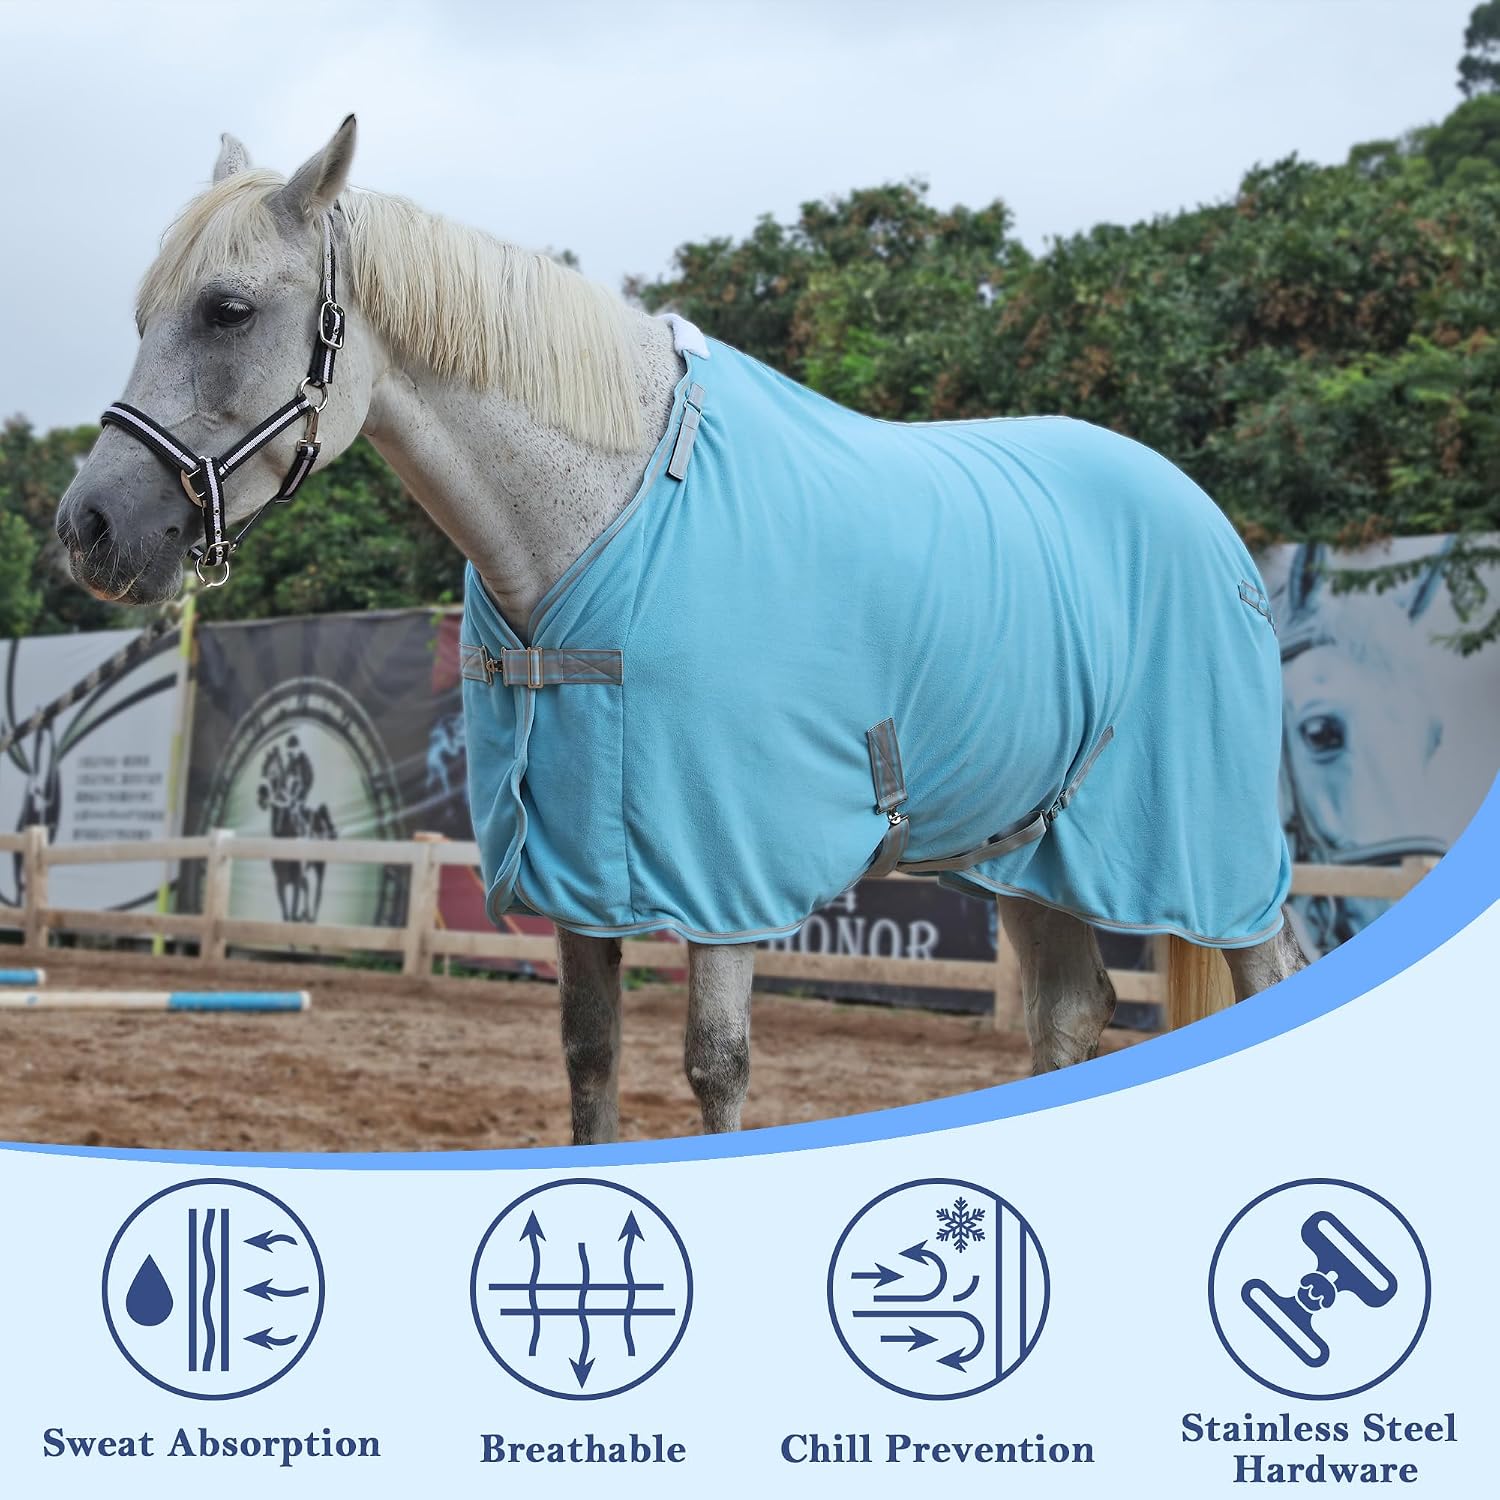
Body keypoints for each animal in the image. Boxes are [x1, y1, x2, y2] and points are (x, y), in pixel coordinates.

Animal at [56, 119, 1306, 1143]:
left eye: (227, 309)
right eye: (140, 315)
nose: (91, 527)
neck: (601, 516)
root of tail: (1216, 532)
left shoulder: (725, 874)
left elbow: (716, 1069)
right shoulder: (574, 873)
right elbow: (590, 1061)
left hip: (1209, 850)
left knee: (1263, 970)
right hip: (1035, 853)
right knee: (1070, 1018)